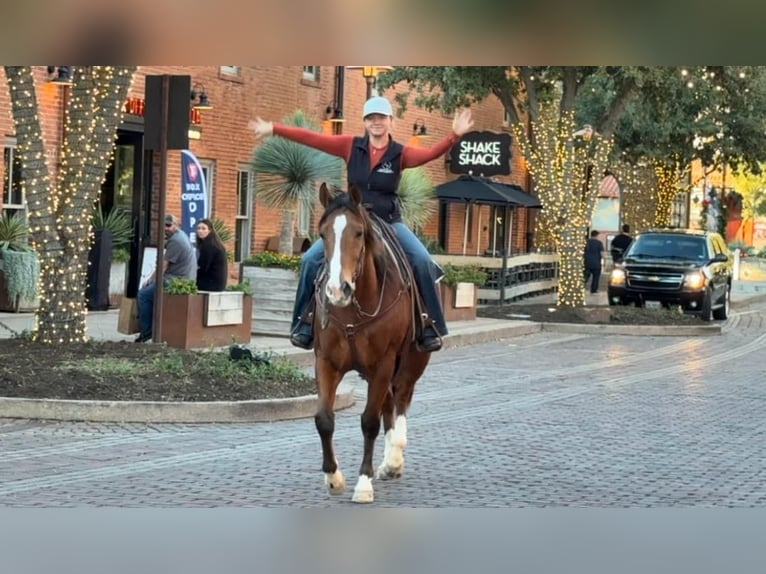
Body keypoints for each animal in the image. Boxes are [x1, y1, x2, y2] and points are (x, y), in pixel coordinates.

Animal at [312, 183, 432, 504]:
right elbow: (324, 419)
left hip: (410, 363)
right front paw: (333, 477)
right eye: (323, 234)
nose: (336, 290)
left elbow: (369, 422)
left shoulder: (383, 364)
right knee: (389, 405)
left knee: (400, 401)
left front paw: (363, 484)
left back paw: (394, 459)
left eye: (357, 232)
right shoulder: (326, 361)